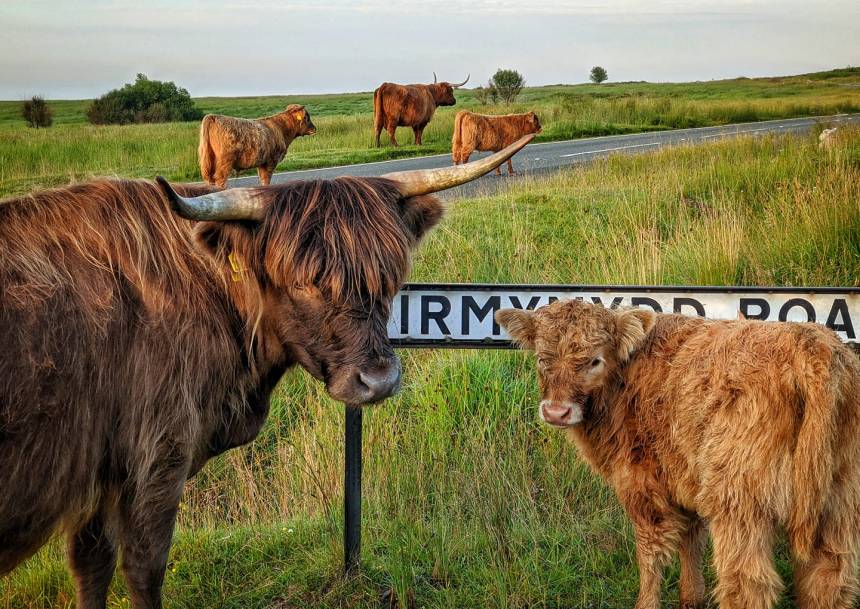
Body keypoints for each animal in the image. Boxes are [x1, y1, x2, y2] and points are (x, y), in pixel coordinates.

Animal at [0, 135, 534, 609]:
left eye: (389, 276)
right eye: (303, 282)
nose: (378, 381)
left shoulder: (98, 475)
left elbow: (91, 567)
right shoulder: (156, 458)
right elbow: (144, 568)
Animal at [497, 300, 860, 609]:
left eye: (594, 360)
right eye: (542, 359)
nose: (556, 412)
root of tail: (813, 346)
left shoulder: (641, 484)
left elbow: (650, 553)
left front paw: (646, 603)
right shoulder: (683, 481)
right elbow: (690, 541)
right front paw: (691, 597)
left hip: (739, 502)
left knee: (748, 584)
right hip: (839, 501)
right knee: (831, 576)